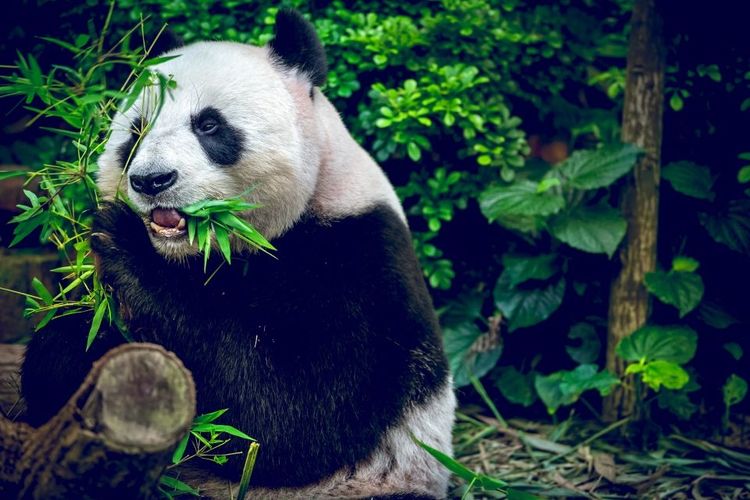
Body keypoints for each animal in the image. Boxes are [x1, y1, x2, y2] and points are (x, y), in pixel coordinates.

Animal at [21, 9, 455, 499]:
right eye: (137, 130)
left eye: (209, 125)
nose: (152, 181)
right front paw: (75, 342)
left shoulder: (357, 262)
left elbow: (288, 417)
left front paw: (123, 242)